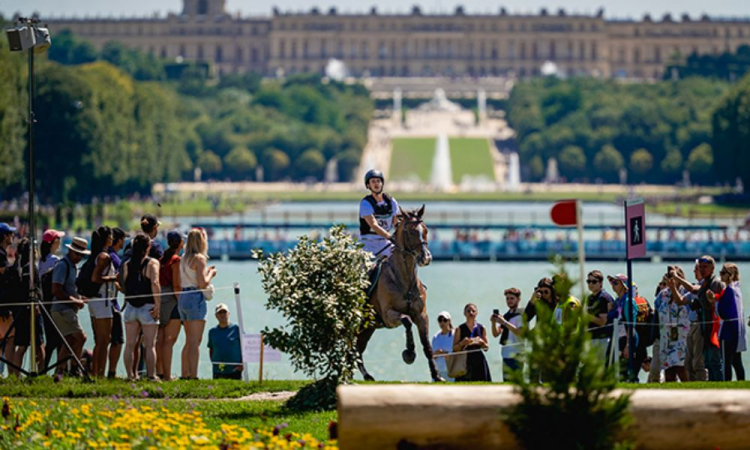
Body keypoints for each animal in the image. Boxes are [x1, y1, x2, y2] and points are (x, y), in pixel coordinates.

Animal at [356, 206, 444, 382]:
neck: (404, 280)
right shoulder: (388, 315)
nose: (426, 258)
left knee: (357, 349)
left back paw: (366, 376)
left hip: (367, 327)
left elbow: (427, 346)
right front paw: (409, 353)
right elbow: (407, 320)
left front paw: (436, 376)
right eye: (410, 232)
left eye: (425, 230)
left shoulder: (421, 315)